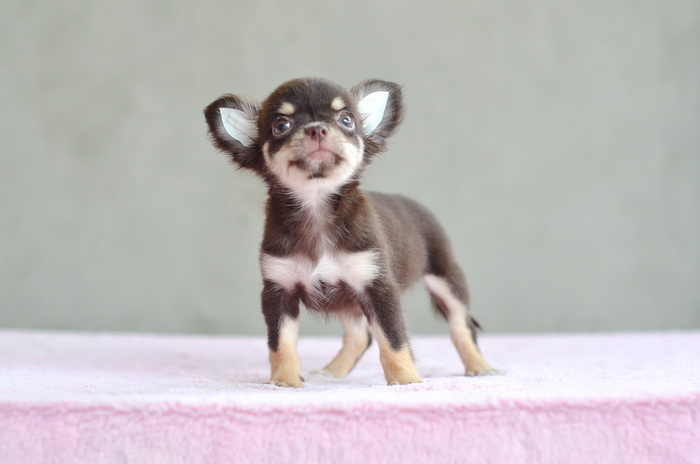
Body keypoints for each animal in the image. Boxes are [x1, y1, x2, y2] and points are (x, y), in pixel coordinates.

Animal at [204, 77, 495, 386]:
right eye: (281, 125)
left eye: (346, 120)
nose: (318, 128)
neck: (316, 207)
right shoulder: (279, 292)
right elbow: (280, 343)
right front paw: (284, 381)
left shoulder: (379, 288)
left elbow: (393, 339)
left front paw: (405, 380)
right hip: (349, 303)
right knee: (360, 336)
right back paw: (333, 371)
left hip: (446, 279)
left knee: (461, 324)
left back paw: (479, 366)